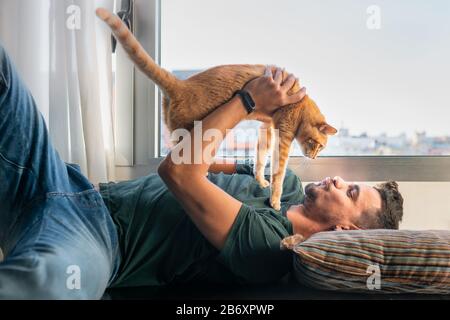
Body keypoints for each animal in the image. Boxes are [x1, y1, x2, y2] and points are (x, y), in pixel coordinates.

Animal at [98, 7, 338, 210]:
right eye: (318, 145)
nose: (314, 157)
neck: (301, 103)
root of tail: (181, 85)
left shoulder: (267, 128)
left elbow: (260, 158)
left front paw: (260, 181)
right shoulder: (283, 138)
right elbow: (278, 174)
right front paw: (275, 200)